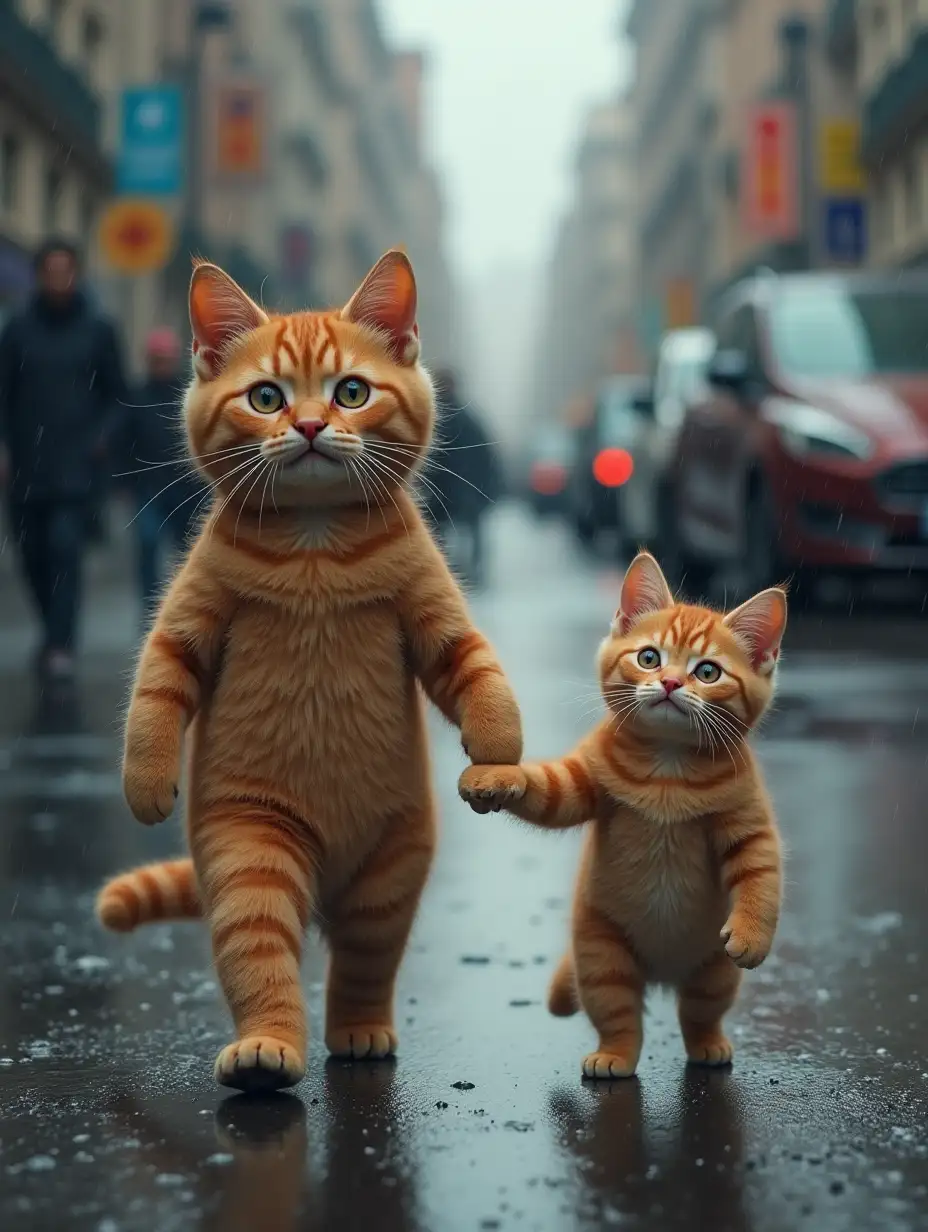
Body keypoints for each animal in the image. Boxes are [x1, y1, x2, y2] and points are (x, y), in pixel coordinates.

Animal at [100, 247, 525, 1089]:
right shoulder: (190, 618)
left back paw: (357, 1034)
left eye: (350, 391)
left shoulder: (433, 614)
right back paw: (266, 1050)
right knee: (263, 958)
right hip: (251, 849)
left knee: (361, 970)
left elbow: (477, 673)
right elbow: (155, 692)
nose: (307, 425)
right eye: (266, 397)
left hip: (386, 881)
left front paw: (496, 755)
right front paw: (146, 781)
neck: (316, 542)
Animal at [455, 554, 783, 1074]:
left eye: (708, 672)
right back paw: (613, 1056)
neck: (668, 767)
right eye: (649, 658)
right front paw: (494, 778)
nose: (670, 683)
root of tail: (661, 972)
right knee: (619, 1014)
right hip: (601, 953)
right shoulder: (580, 781)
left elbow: (762, 876)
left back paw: (708, 1046)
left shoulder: (748, 821)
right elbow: (545, 789)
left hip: (712, 971)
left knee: (698, 1013)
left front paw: (753, 934)